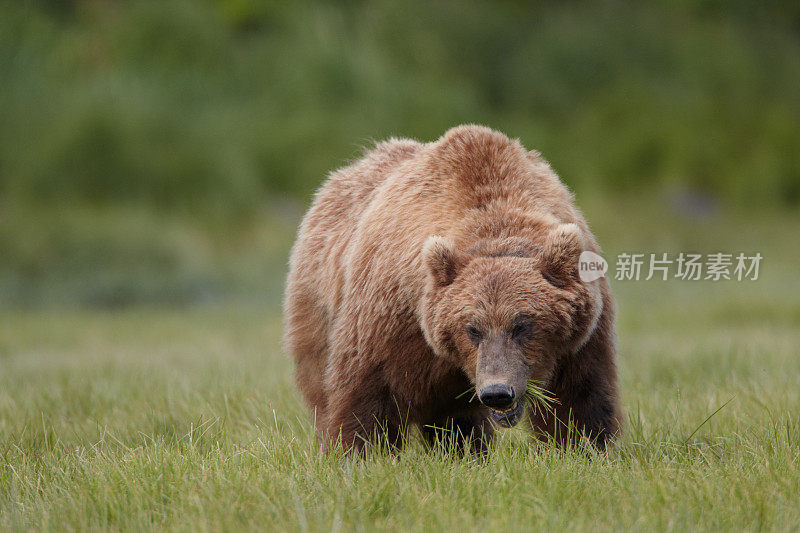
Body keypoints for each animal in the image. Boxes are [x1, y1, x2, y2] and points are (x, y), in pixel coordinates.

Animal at [284, 125, 620, 454]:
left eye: (523, 325)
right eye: (472, 329)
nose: (498, 392)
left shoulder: (582, 337)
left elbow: (580, 396)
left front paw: (586, 446)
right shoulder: (394, 316)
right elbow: (367, 390)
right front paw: (362, 452)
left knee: (454, 418)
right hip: (316, 308)